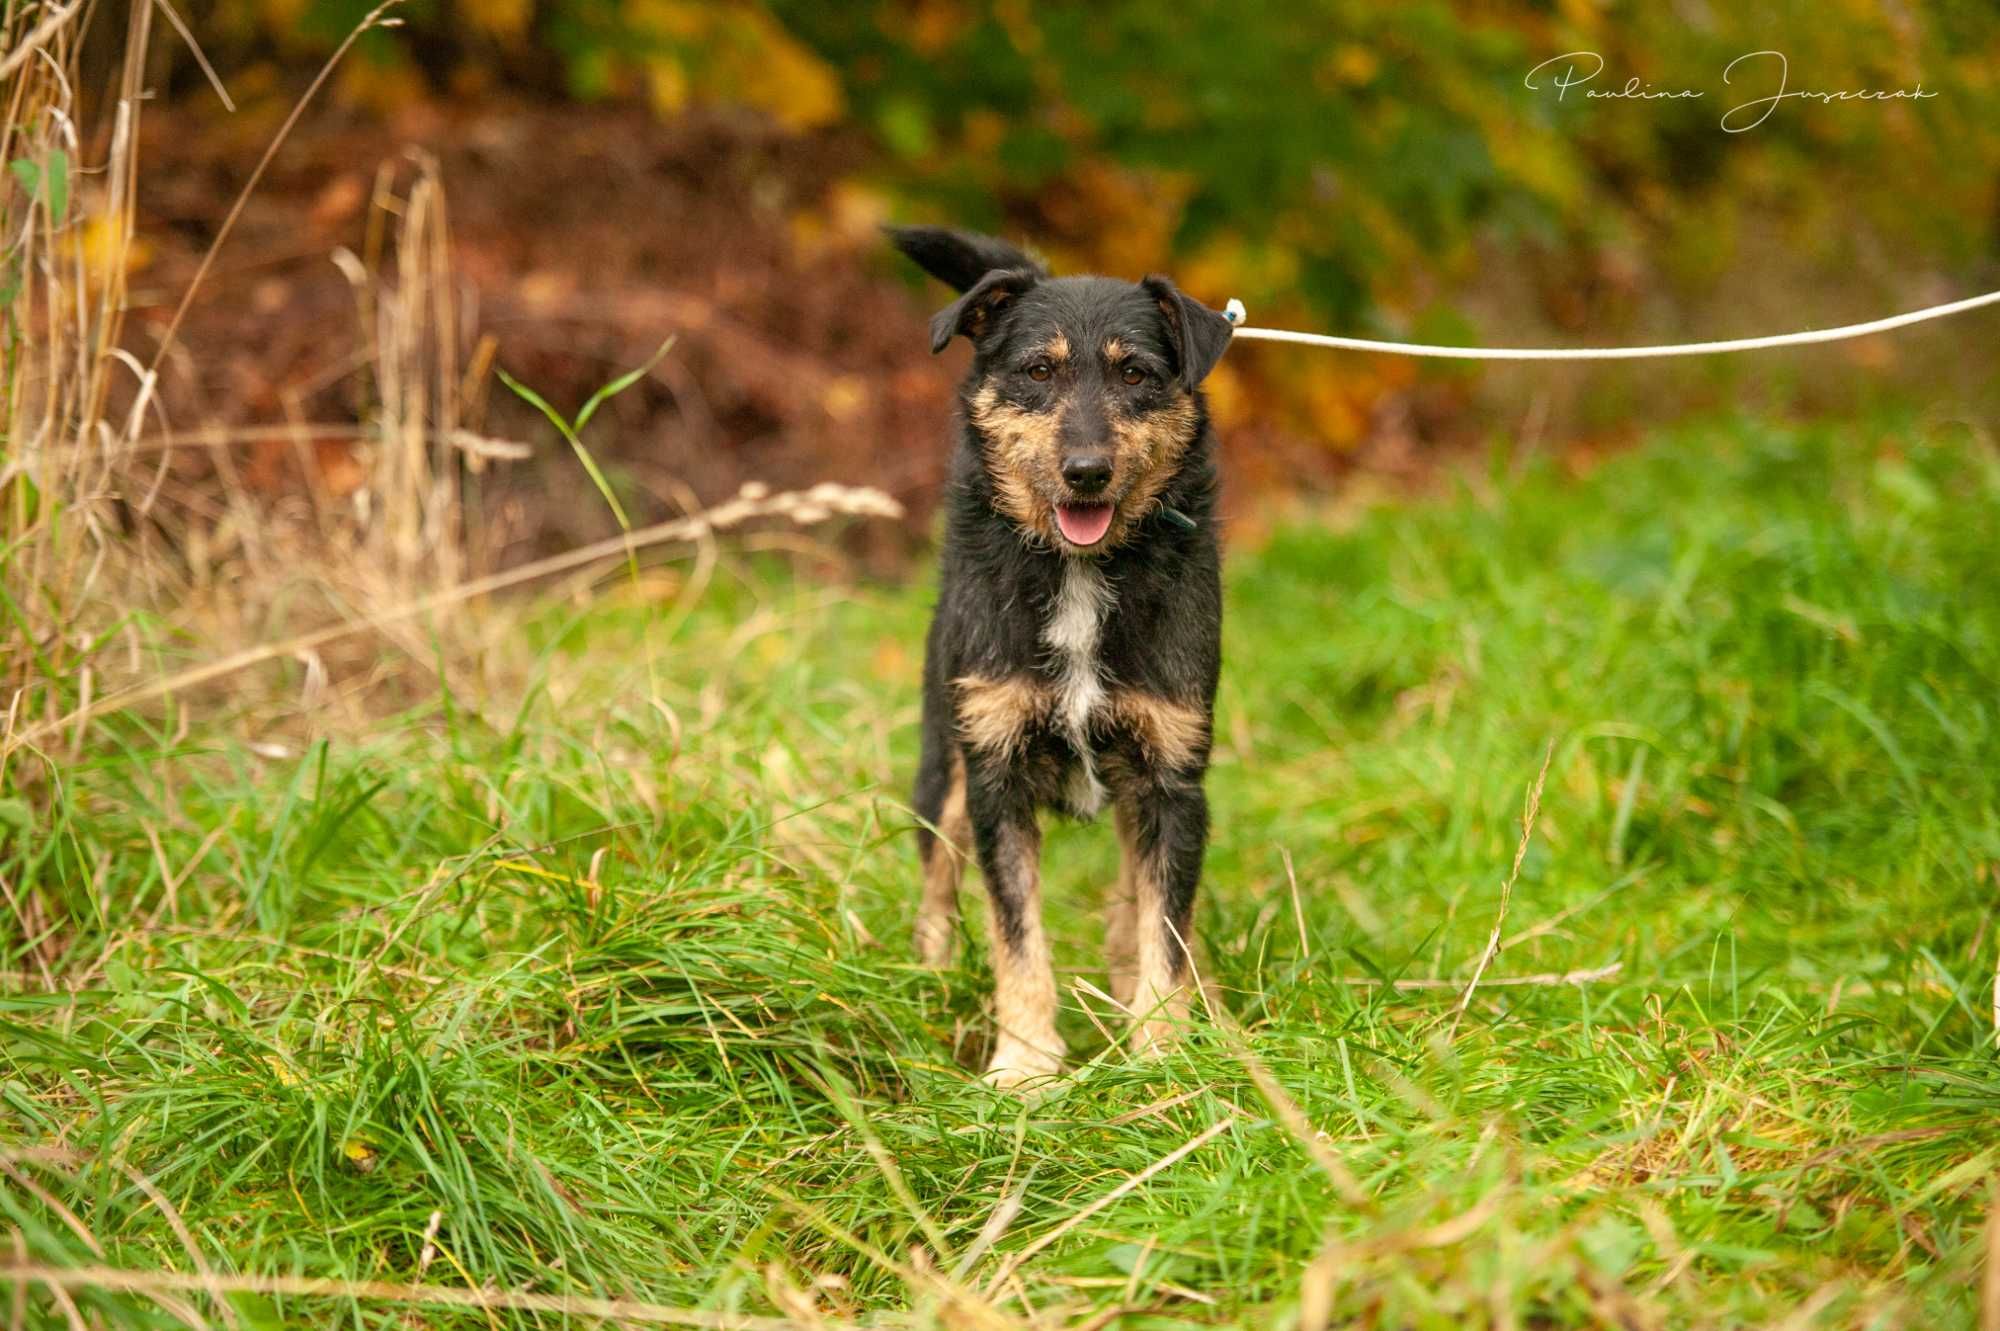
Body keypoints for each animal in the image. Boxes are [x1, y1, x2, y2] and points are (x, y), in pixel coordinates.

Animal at [896, 222, 1232, 1087]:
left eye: (1135, 372)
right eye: (1038, 370)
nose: (1087, 471)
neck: (1080, 571)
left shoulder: (1173, 780)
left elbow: (1164, 931)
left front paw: (1163, 1057)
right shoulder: (995, 777)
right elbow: (1017, 937)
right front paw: (1025, 1065)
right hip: (943, 767)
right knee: (936, 884)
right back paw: (928, 980)